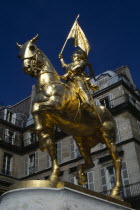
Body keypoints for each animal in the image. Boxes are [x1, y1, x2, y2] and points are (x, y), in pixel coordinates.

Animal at [17, 34, 122, 200]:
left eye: (32, 48)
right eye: (19, 54)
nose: (27, 68)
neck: (48, 84)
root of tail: (107, 110)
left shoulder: (56, 106)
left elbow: (36, 108)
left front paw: (38, 130)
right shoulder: (48, 121)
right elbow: (50, 143)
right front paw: (53, 174)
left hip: (108, 137)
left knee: (116, 161)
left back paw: (115, 192)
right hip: (81, 140)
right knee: (90, 163)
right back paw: (81, 175)